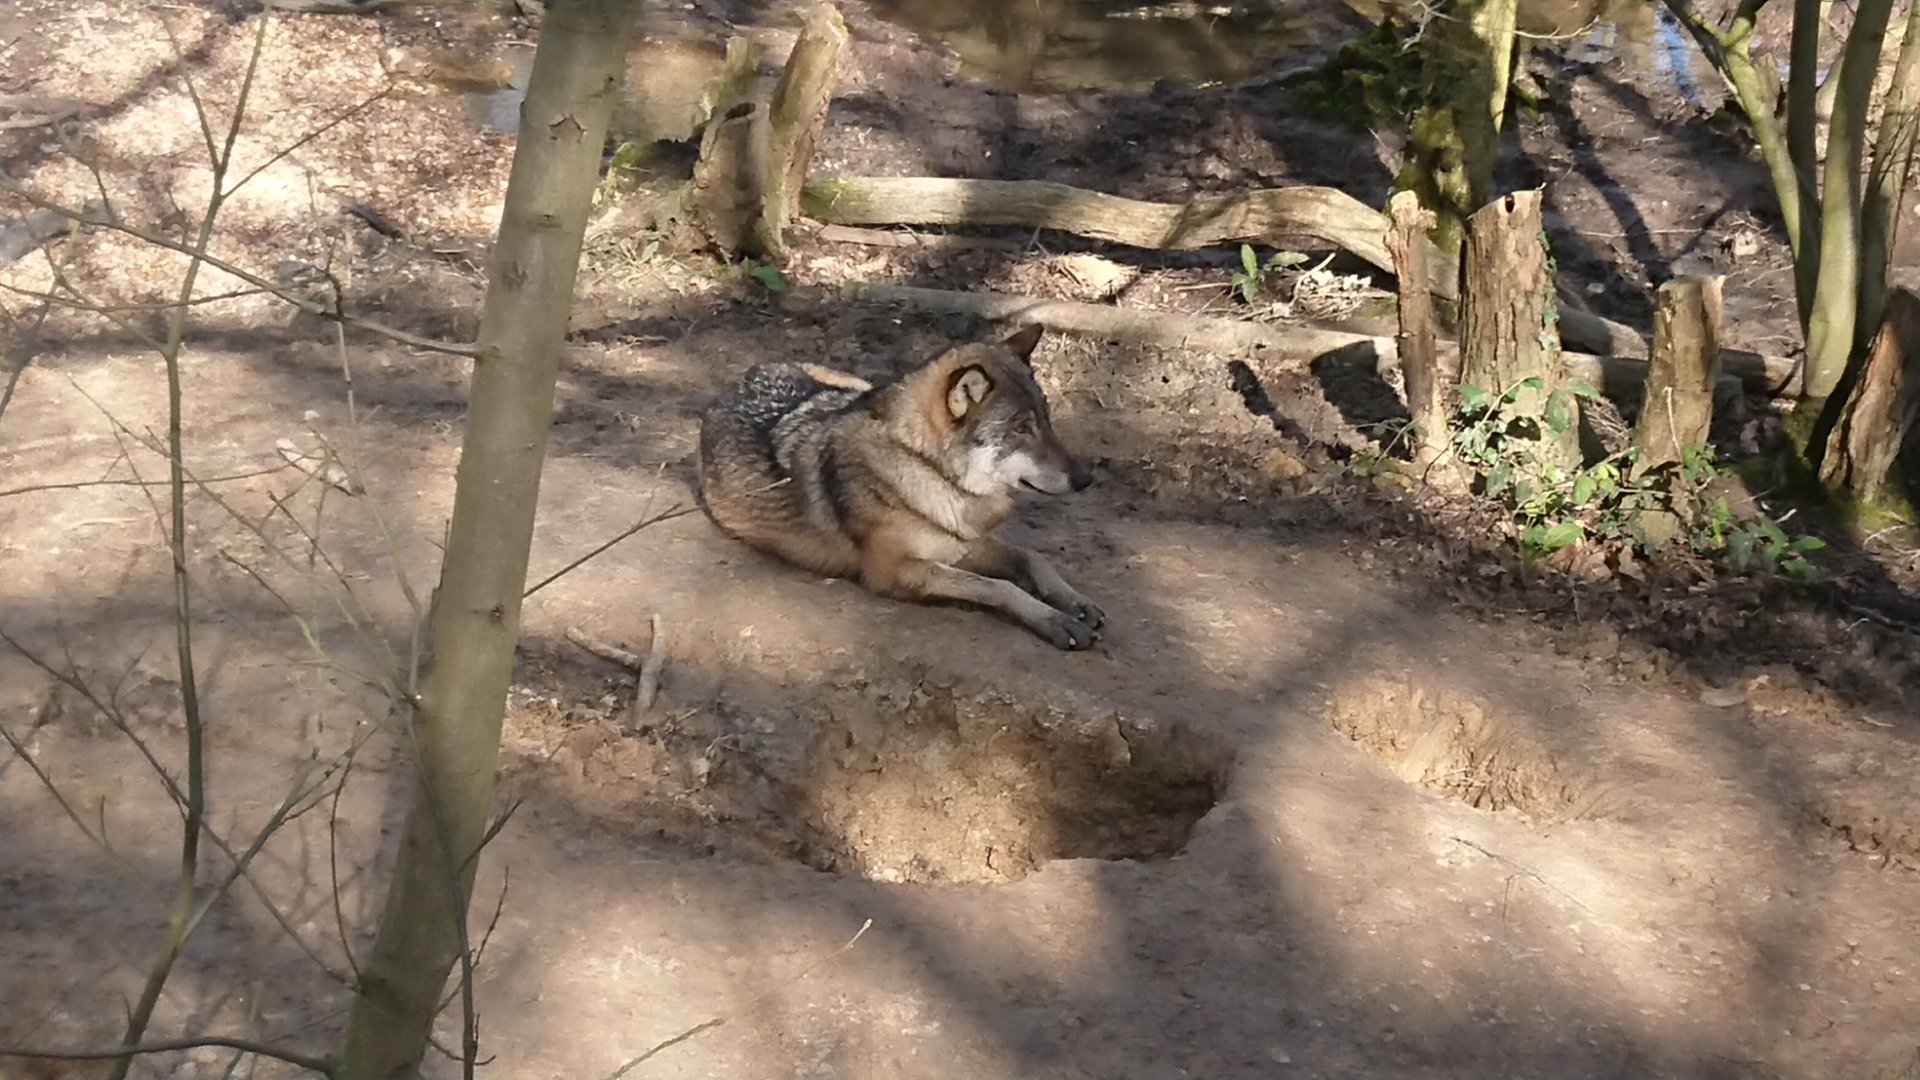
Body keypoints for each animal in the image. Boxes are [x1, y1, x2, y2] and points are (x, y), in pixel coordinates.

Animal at [696, 324, 1106, 650]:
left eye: (1046, 420)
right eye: (1021, 429)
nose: (1085, 479)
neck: (925, 467)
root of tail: (748, 374)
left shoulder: (960, 544)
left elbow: (1031, 557)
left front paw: (1073, 601)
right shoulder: (893, 571)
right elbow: (1000, 586)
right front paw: (1055, 620)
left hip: (853, 388)